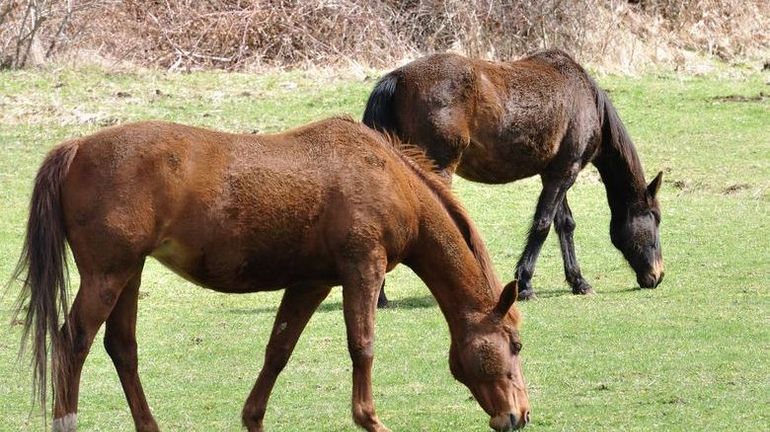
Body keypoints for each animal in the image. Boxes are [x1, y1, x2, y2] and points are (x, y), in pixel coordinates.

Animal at [12, 117, 530, 432]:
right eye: (516, 345)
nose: (519, 414)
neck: (388, 177)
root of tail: (77, 147)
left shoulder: (311, 283)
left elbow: (278, 351)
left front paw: (253, 417)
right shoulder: (363, 269)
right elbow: (362, 346)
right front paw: (370, 419)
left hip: (128, 274)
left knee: (122, 348)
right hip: (108, 274)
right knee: (72, 342)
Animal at [363, 49, 664, 303]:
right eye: (656, 218)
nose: (657, 276)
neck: (585, 97)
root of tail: (397, 78)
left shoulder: (554, 173)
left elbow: (564, 224)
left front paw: (578, 281)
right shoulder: (566, 172)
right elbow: (542, 224)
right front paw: (525, 284)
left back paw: (381, 296)